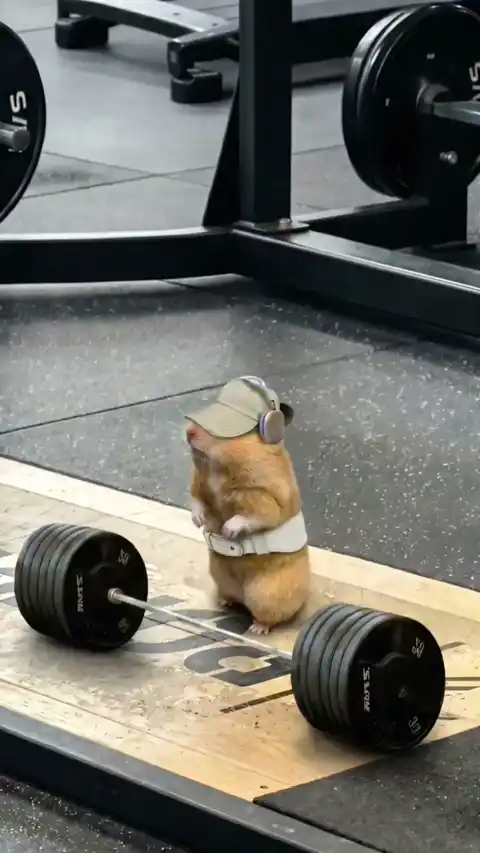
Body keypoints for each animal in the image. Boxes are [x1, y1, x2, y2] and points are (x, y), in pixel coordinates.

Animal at [185, 422, 310, 635]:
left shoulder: (264, 495)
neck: (218, 468)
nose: (188, 431)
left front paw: (228, 530)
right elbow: (197, 499)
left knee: (271, 616)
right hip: (220, 576)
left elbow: (255, 515)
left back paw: (257, 628)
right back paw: (225, 602)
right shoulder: (198, 482)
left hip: (267, 595)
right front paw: (198, 520)